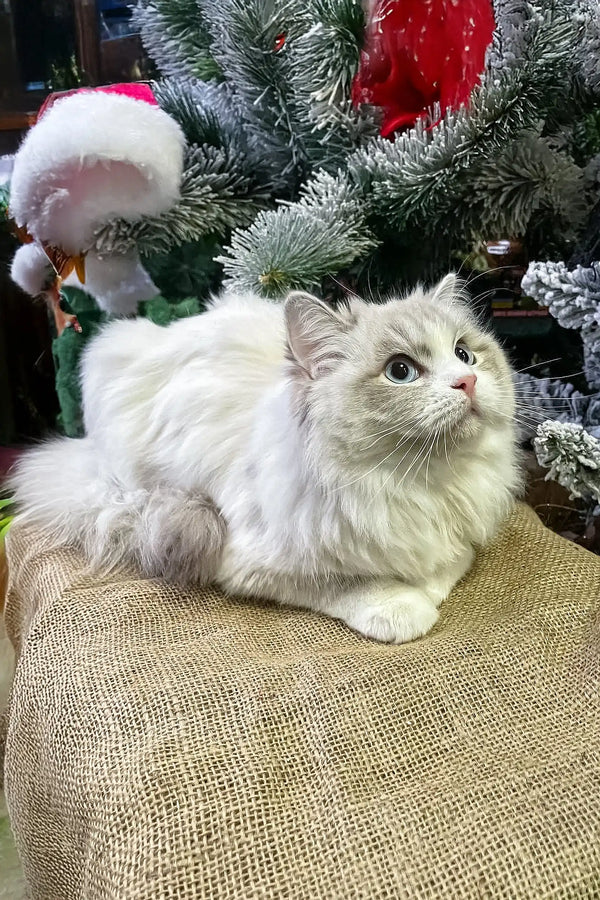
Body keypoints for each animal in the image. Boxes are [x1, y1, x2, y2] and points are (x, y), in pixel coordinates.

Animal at [11, 274, 524, 640]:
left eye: (464, 354)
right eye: (401, 371)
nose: (467, 382)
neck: (416, 481)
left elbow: (451, 562)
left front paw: (430, 583)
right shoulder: (251, 560)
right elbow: (349, 582)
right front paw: (406, 603)